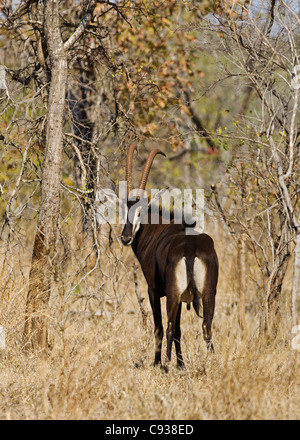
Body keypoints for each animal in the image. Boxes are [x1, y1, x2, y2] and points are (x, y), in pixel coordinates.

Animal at [121, 145, 218, 368]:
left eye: (140, 211)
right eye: (124, 209)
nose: (126, 238)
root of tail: (190, 250)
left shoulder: (153, 290)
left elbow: (159, 327)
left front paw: (157, 363)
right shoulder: (183, 298)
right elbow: (180, 331)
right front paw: (181, 365)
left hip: (173, 293)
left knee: (168, 328)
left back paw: (164, 365)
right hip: (208, 293)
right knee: (206, 327)